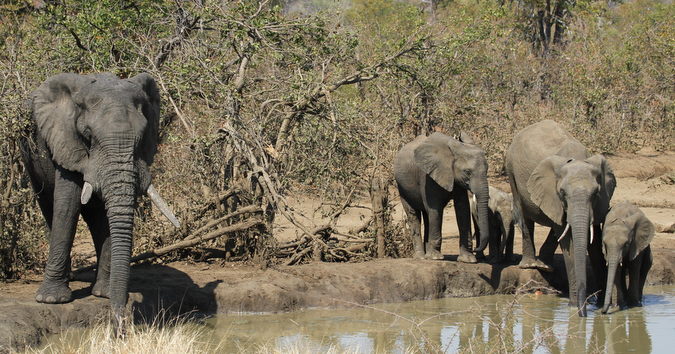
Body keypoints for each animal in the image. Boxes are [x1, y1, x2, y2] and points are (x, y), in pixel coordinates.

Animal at [21, 74, 181, 324]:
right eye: (88, 135)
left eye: (142, 137)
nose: (119, 322)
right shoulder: (66, 142)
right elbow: (67, 206)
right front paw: (51, 300)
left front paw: (104, 294)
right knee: (48, 204)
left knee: (96, 218)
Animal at [390, 131, 492, 262]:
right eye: (467, 172)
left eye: (487, 170)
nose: (476, 249)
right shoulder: (427, 176)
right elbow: (435, 210)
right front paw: (435, 258)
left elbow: (463, 209)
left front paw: (468, 260)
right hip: (402, 187)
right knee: (414, 215)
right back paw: (421, 257)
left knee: (427, 216)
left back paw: (426, 254)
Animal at [508, 119, 616, 316]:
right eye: (563, 193)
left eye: (595, 193)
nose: (584, 312)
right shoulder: (553, 195)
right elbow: (568, 242)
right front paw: (574, 307)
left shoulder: (600, 202)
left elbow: (595, 241)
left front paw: (600, 306)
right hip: (511, 169)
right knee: (524, 212)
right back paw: (530, 265)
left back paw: (545, 265)